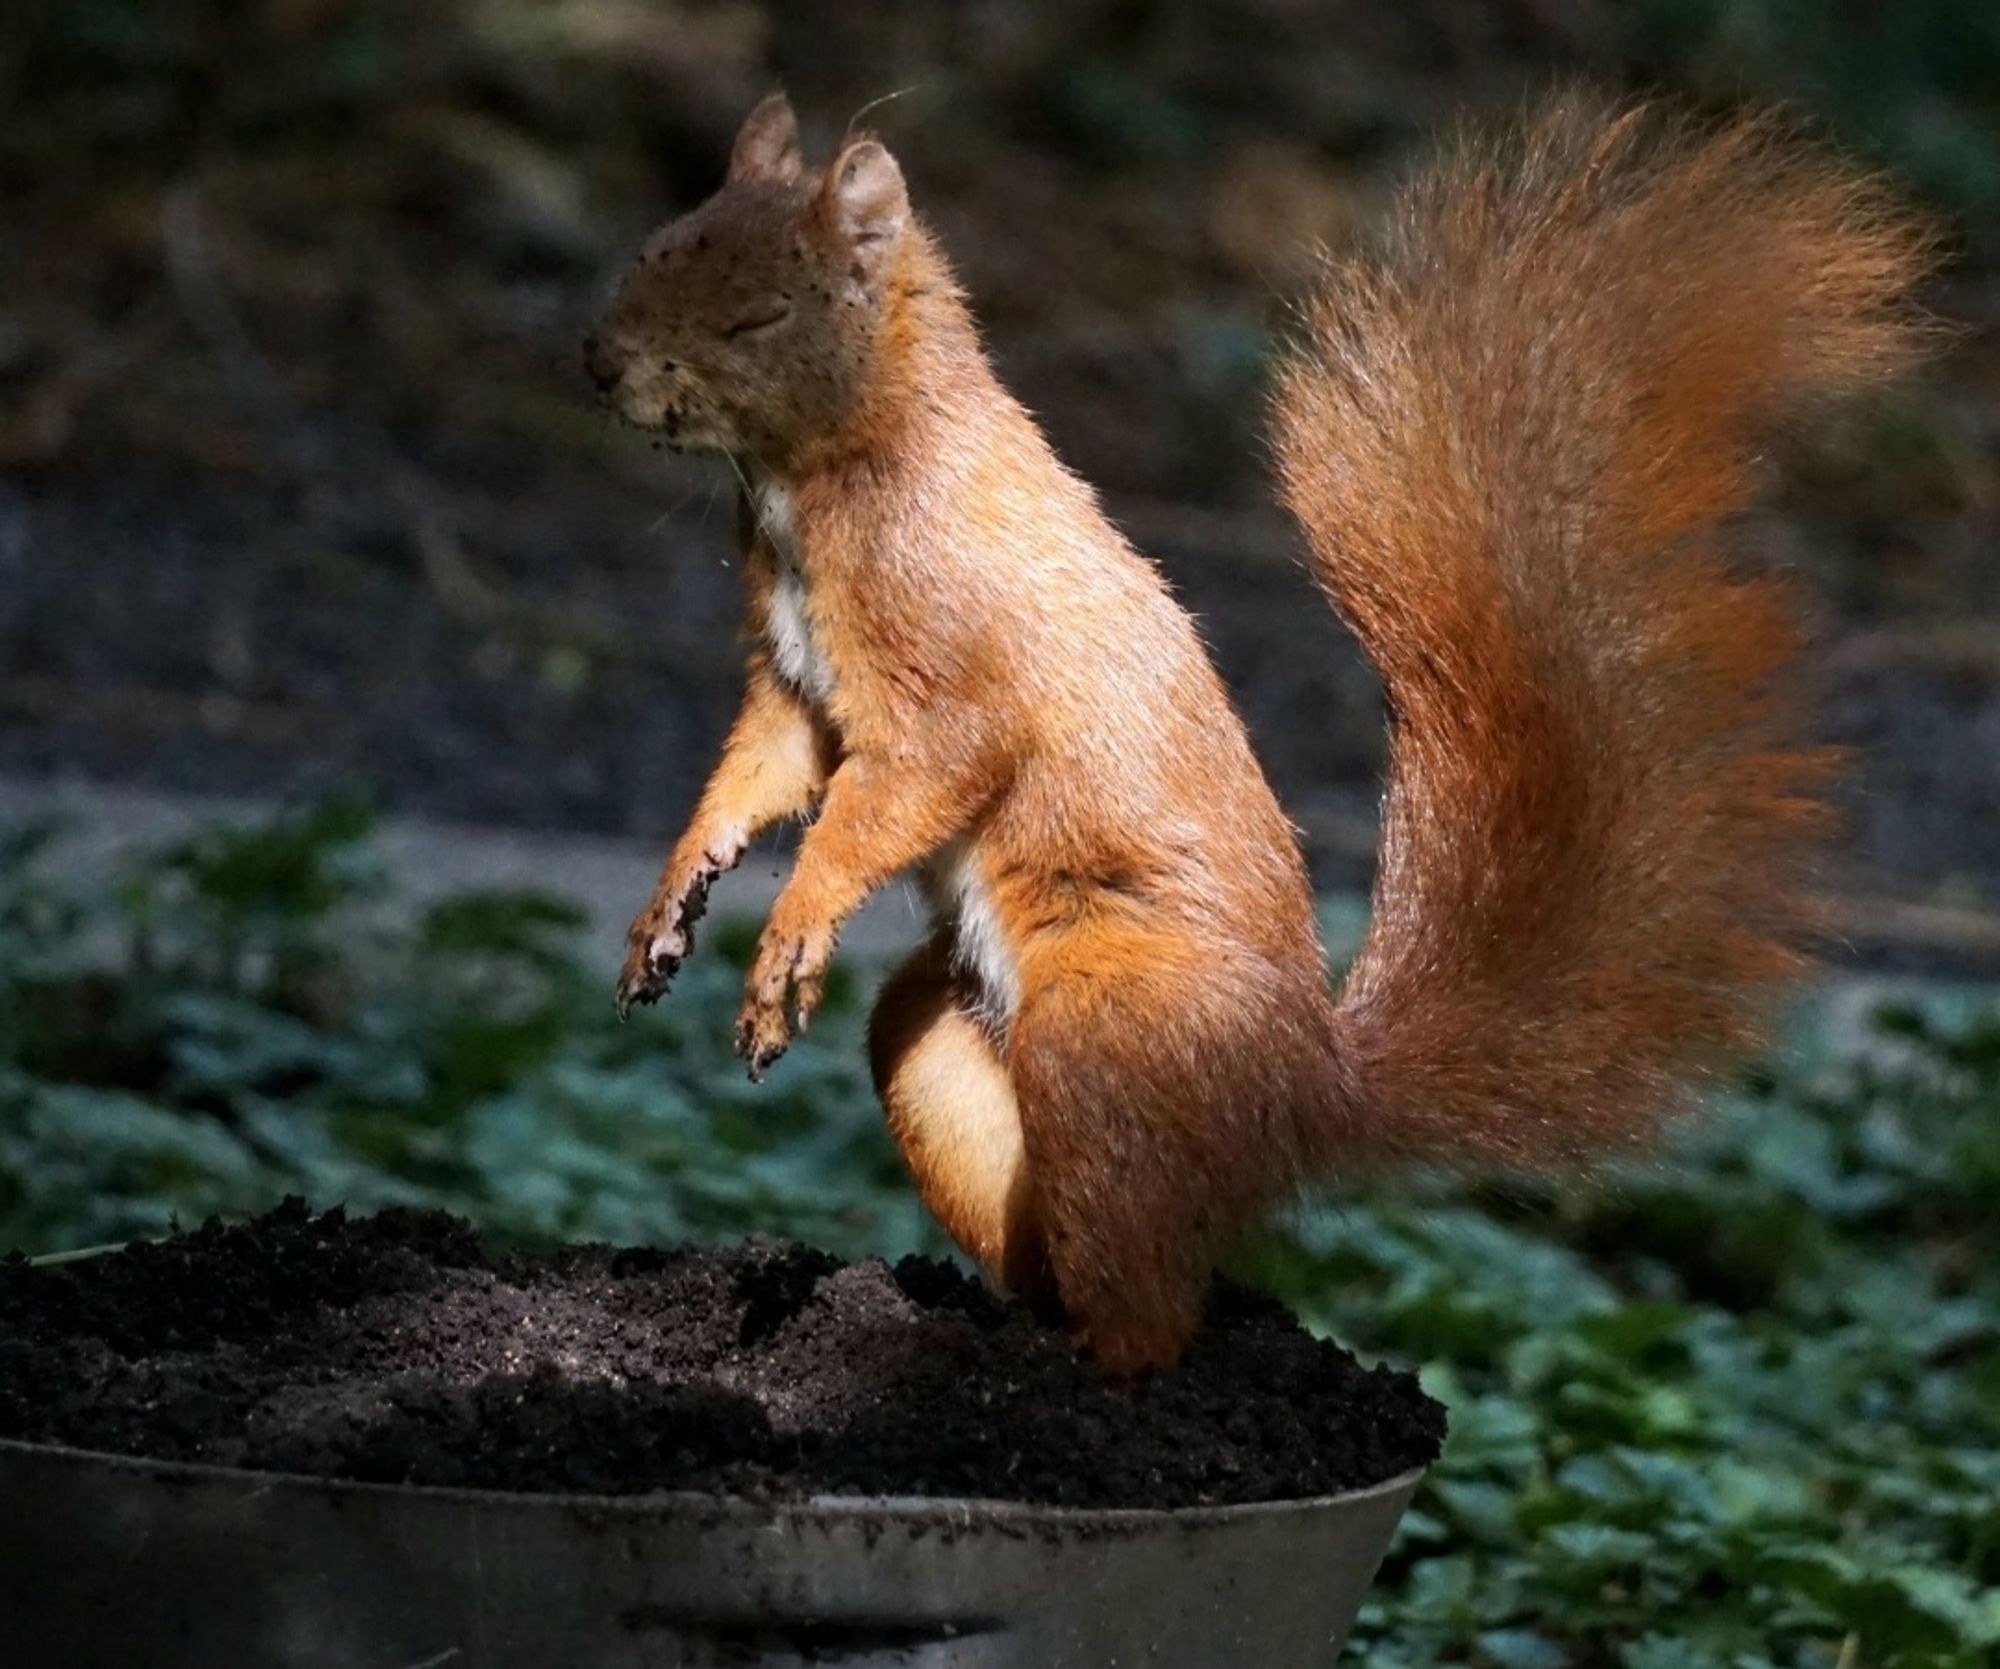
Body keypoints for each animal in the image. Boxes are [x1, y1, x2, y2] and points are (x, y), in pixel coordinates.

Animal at [584, 88, 1928, 1368]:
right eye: (652, 246)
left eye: (761, 316)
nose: (599, 364)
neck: (827, 469)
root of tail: (1301, 1098)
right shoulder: (795, 682)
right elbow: (762, 772)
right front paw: (673, 903)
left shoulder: (950, 670)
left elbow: (908, 783)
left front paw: (788, 940)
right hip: (939, 1043)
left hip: (1104, 1026)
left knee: (1154, 1317)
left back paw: (1064, 1365)